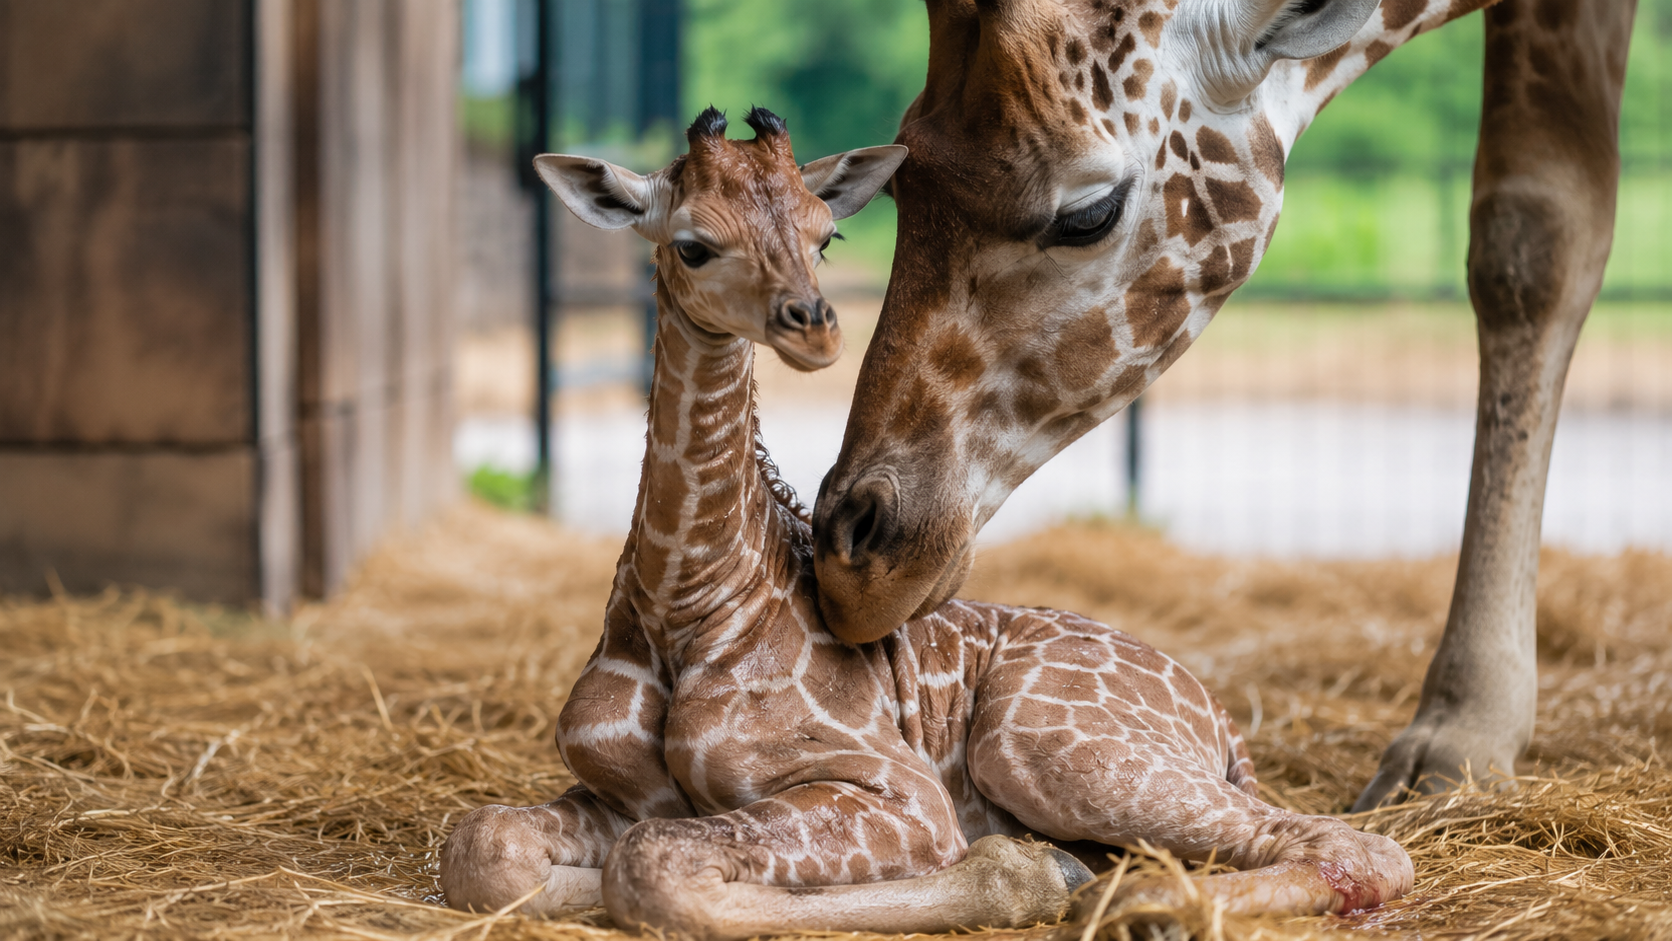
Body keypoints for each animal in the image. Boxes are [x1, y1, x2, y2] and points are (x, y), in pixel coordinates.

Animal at [438, 108, 1413, 940]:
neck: (686, 598)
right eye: (692, 243)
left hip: (1042, 746)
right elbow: (485, 848)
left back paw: (1137, 904)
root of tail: (1216, 717)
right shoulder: (618, 795)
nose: (815, 328)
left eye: (824, 232)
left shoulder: (901, 792)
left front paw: (1026, 876)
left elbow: (653, 871)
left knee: (1360, 844)